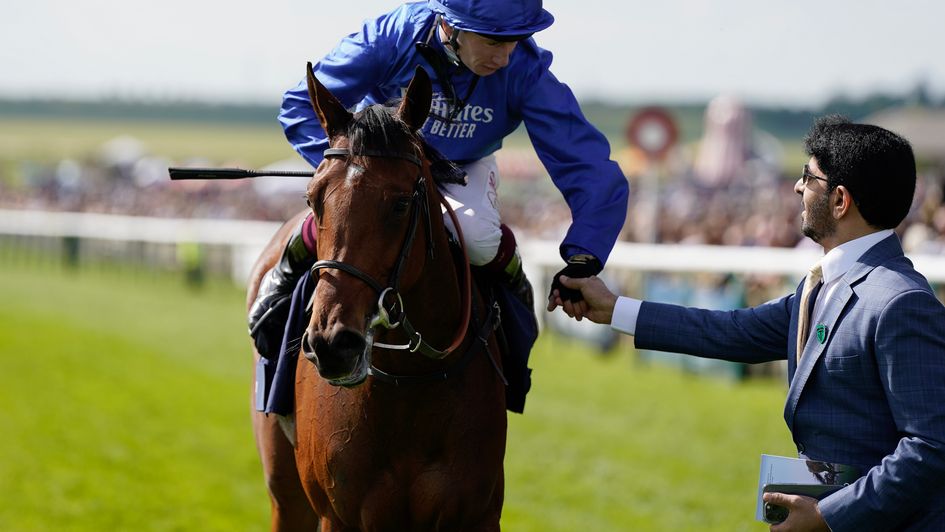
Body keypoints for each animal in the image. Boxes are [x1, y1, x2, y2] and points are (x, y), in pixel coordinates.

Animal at [247, 64, 506, 528]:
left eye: (401, 203)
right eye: (312, 200)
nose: (332, 344)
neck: (410, 382)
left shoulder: (476, 514)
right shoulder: (338, 514)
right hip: (285, 491)